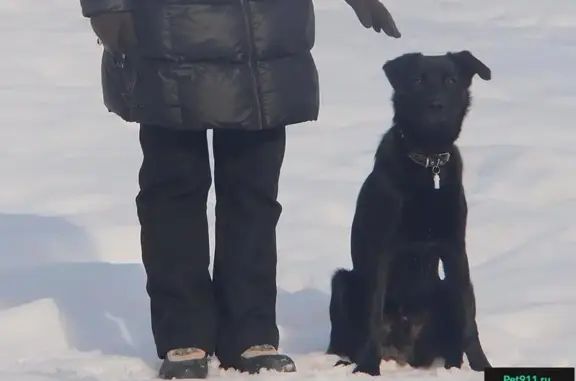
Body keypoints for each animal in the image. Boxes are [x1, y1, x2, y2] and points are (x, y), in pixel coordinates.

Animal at [326, 50, 492, 374]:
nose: (436, 105)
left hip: (443, 291)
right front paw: (368, 368)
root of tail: (404, 351)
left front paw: (481, 366)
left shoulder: (455, 248)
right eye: (417, 81)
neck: (428, 162)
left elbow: (469, 318)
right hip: (342, 283)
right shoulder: (383, 248)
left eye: (451, 80)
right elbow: (374, 314)